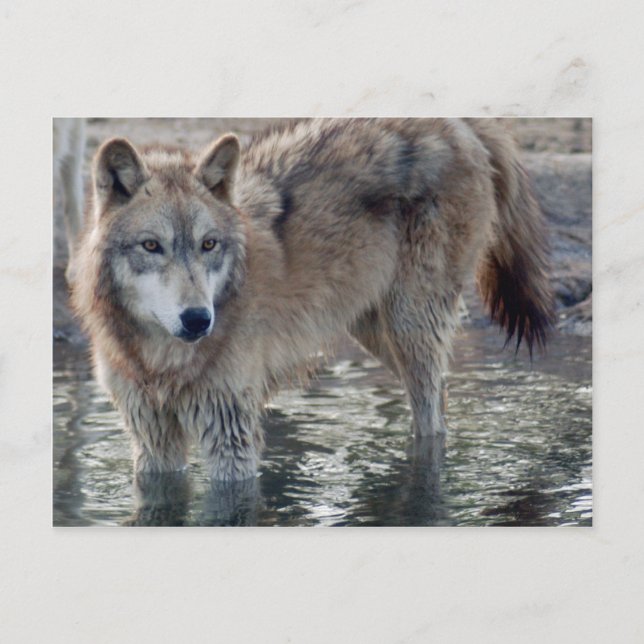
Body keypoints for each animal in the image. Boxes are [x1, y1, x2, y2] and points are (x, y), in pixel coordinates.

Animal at [71, 118, 554, 482]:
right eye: (152, 246)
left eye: (208, 244)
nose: (197, 320)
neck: (160, 362)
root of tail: (460, 122)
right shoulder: (152, 440)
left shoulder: (230, 432)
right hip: (376, 333)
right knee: (443, 401)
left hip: (409, 327)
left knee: (432, 420)